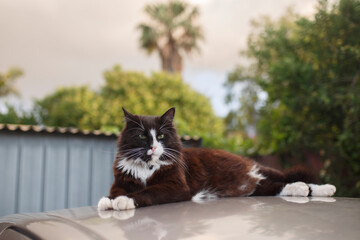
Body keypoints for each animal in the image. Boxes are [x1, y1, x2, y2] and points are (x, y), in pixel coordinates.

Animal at [97, 108, 336, 211]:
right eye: (142, 136)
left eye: (162, 136)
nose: (154, 147)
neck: (147, 168)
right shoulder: (120, 183)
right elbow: (115, 193)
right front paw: (108, 201)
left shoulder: (176, 186)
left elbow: (147, 192)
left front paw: (125, 201)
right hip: (254, 187)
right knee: (280, 186)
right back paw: (304, 189)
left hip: (260, 174)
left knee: (288, 179)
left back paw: (325, 188)